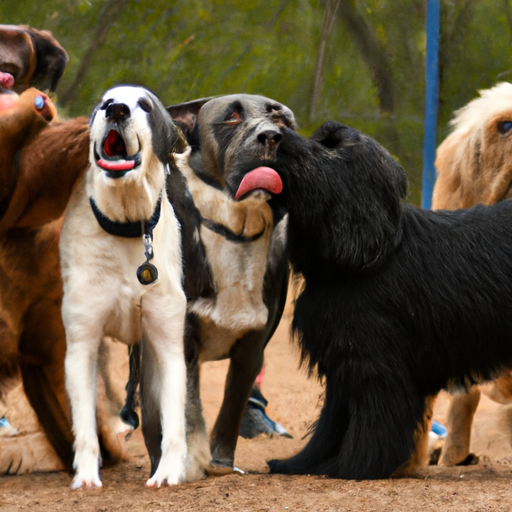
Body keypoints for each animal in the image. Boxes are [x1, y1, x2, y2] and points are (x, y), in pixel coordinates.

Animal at [60, 86, 188, 490]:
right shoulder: (81, 345)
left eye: (144, 105)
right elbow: (85, 423)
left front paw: (169, 470)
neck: (128, 225)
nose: (116, 110)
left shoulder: (167, 344)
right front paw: (86, 474)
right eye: (104, 104)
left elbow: (173, 420)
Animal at [236, 121, 512, 480]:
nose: (269, 134)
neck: (371, 251)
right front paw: (301, 464)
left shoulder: (372, 365)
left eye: (331, 146)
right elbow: (329, 427)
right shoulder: (341, 366)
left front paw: (354, 466)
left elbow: (372, 422)